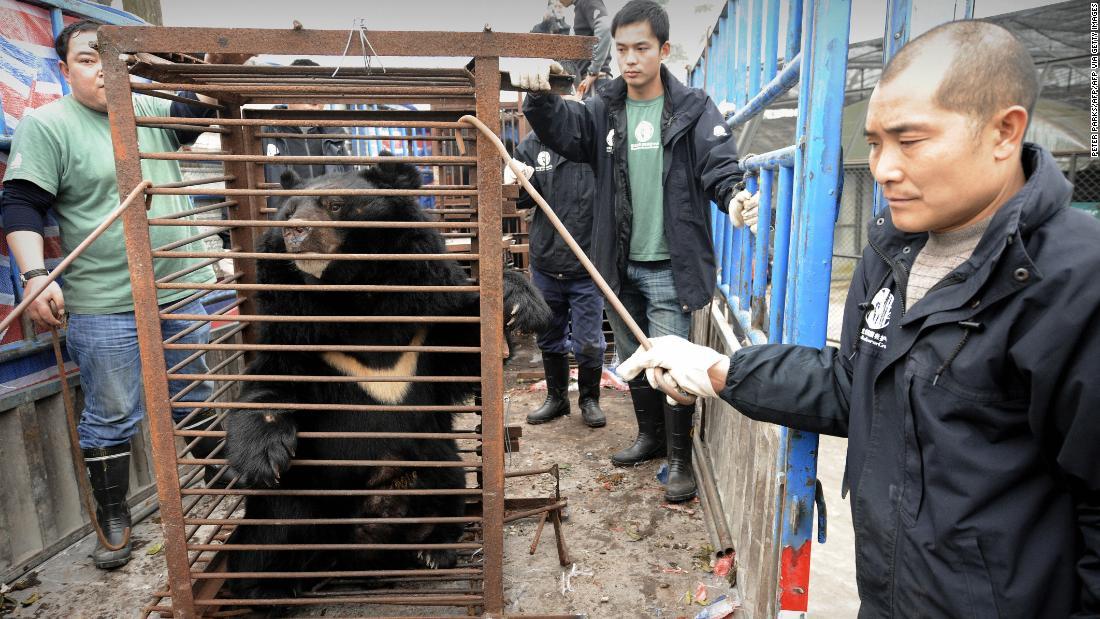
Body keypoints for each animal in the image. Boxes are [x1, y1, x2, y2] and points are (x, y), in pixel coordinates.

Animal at [222, 156, 550, 602]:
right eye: (287, 212)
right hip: (301, 498)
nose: (295, 232)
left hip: (434, 469)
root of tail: (358, 550)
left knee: (449, 487)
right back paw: (265, 588)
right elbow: (269, 382)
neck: (355, 300)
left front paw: (516, 303)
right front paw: (260, 458)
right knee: (269, 534)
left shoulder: (423, 328)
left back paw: (434, 552)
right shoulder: (299, 335)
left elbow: (467, 350)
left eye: (335, 206)